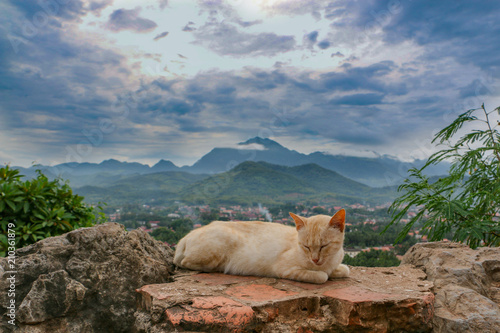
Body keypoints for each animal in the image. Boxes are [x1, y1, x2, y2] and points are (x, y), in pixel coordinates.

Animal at [174, 208, 350, 282]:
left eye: (324, 246)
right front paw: (325, 273)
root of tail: (185, 236)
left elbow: (345, 269)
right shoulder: (284, 269)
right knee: (184, 262)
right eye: (306, 246)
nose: (314, 259)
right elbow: (322, 276)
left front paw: (336, 270)